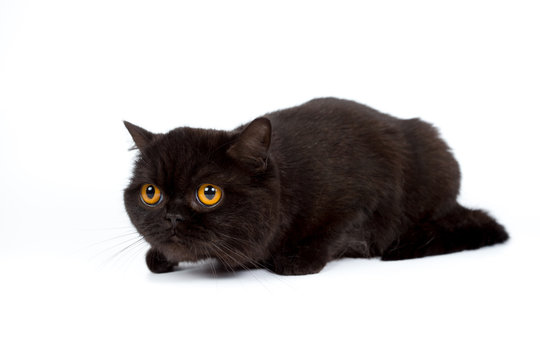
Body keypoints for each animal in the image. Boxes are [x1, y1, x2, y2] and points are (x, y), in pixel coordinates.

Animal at [124, 97, 508, 274]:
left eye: (208, 193)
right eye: (150, 193)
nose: (172, 217)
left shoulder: (366, 195)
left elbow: (335, 230)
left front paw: (297, 259)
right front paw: (160, 256)